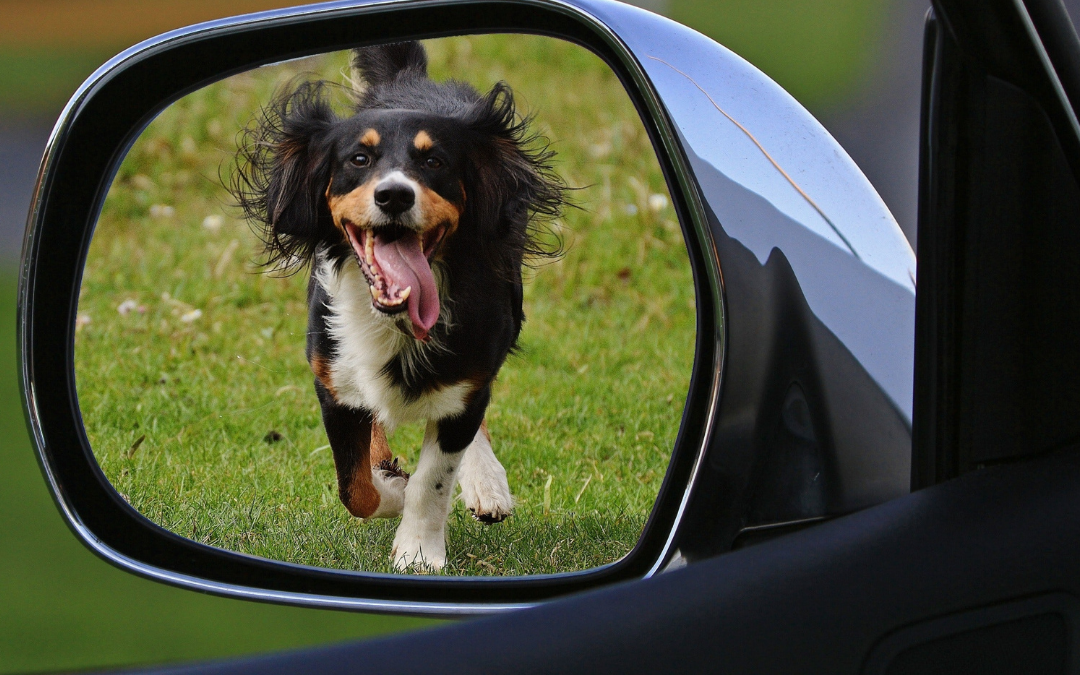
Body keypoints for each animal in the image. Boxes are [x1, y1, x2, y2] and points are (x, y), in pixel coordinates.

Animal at [230, 42, 565, 570]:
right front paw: (392, 486)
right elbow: (355, 487)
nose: (393, 194)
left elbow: (433, 480)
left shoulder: (468, 376)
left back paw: (486, 484)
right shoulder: (335, 380)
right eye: (358, 158)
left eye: (435, 162)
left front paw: (420, 552)